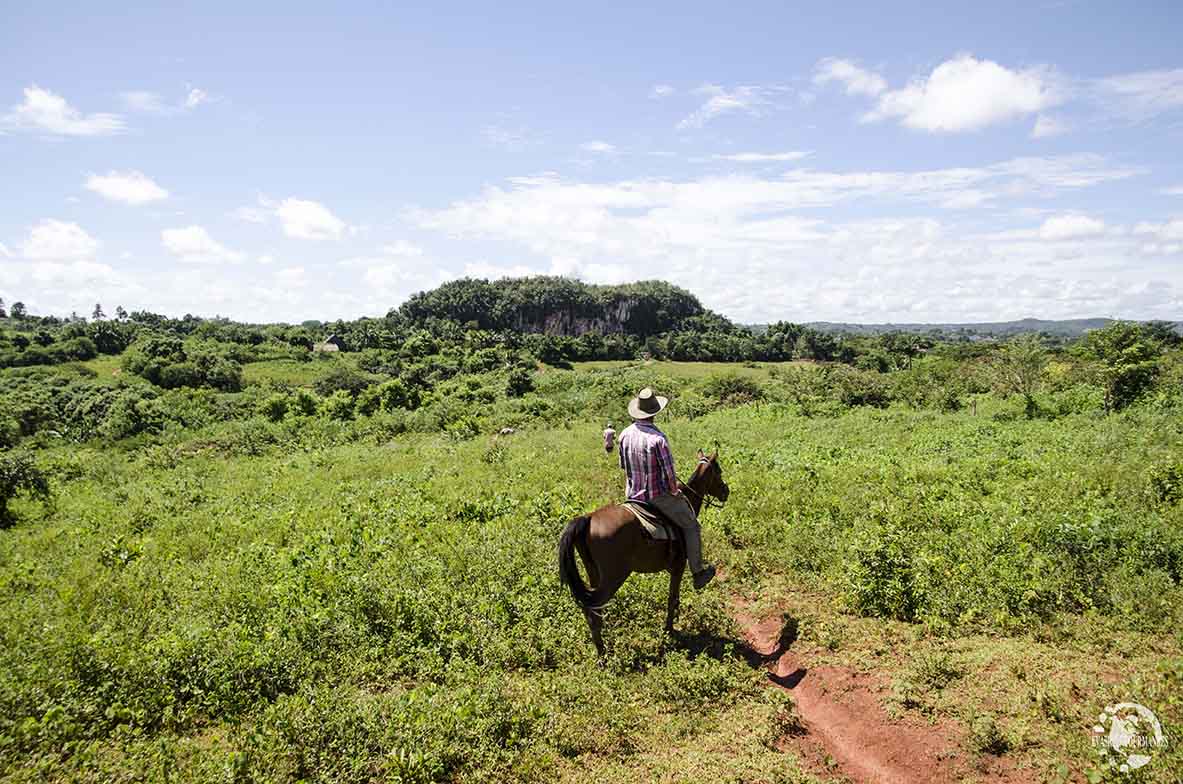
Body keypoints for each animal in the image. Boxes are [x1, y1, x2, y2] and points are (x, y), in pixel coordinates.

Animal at [556, 451, 728, 657]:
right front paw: (669, 631)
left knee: (591, 608)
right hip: (613, 577)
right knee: (593, 611)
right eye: (719, 471)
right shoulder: (678, 567)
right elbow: (672, 598)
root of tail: (588, 518)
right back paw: (603, 654)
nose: (726, 491)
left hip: (594, 573)